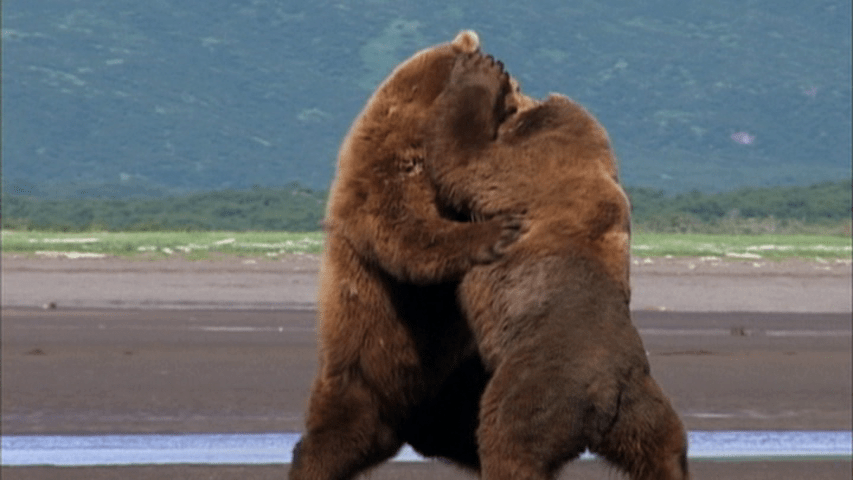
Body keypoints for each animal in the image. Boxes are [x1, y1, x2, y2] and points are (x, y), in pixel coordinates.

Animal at [289, 32, 520, 479]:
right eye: (515, 89)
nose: (527, 104)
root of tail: (409, 424)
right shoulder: (386, 173)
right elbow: (410, 233)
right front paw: (500, 230)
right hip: (364, 373)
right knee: (332, 441)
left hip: (456, 379)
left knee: (477, 426)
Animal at [423, 52, 690, 480]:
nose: (513, 83)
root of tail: (603, 397)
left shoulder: (531, 169)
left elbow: (464, 160)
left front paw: (480, 69)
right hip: (641, 403)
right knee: (666, 448)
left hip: (536, 384)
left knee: (509, 441)